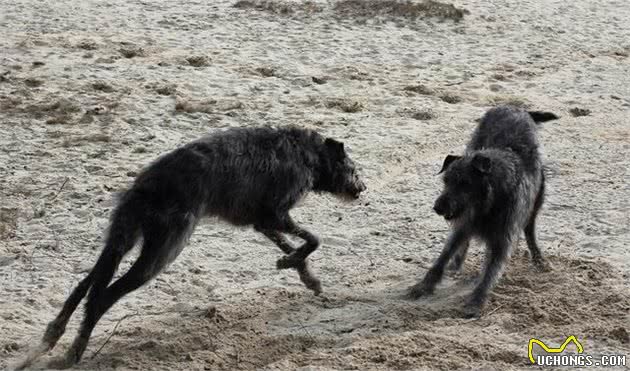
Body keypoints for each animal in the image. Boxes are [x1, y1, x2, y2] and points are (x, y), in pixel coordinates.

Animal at [17, 126, 368, 370]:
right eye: (353, 169)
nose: (363, 189)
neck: (307, 154)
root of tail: (147, 185)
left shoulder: (263, 221)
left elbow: (294, 247)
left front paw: (300, 272)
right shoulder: (275, 214)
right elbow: (314, 239)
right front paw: (297, 265)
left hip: (123, 238)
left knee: (86, 282)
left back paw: (53, 334)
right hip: (165, 248)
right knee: (102, 296)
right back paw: (73, 351)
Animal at [410, 106, 564, 318]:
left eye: (464, 183)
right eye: (446, 181)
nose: (437, 208)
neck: (490, 202)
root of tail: (516, 108)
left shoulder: (502, 238)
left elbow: (490, 273)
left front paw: (476, 301)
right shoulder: (464, 225)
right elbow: (444, 255)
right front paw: (424, 286)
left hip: (535, 202)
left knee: (530, 230)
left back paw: (539, 259)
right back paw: (456, 264)